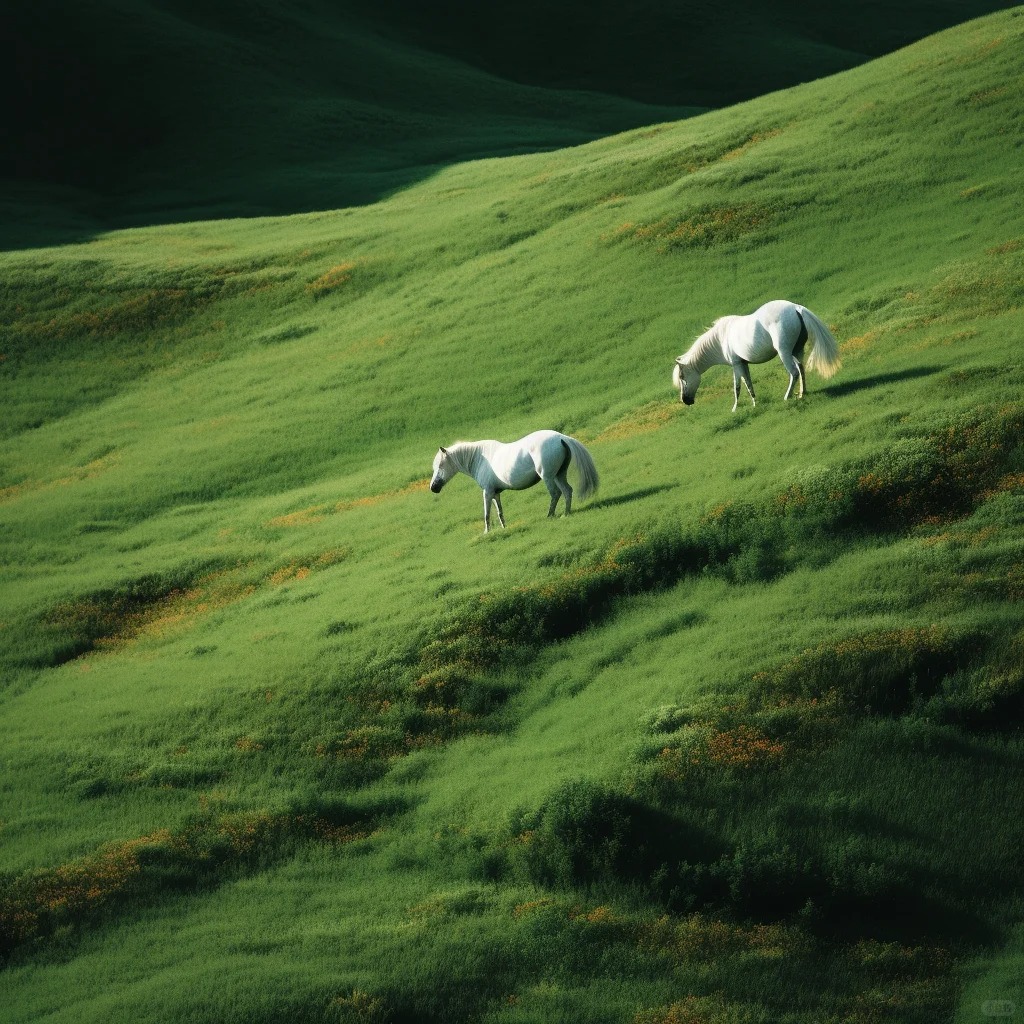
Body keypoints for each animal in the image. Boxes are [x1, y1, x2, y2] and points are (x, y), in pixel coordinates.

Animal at [425, 428, 598, 532]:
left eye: (440, 465)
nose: (433, 487)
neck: (480, 458)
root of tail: (561, 437)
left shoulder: (487, 492)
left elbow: (487, 514)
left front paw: (487, 532)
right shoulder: (495, 493)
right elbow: (499, 512)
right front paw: (504, 528)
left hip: (548, 477)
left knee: (556, 494)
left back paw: (550, 515)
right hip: (559, 475)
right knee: (567, 491)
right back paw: (566, 514)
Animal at [671, 299, 839, 409]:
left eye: (682, 377)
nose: (685, 400)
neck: (721, 338)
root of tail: (795, 308)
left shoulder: (736, 364)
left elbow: (737, 387)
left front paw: (735, 408)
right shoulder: (743, 363)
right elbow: (748, 384)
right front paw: (754, 403)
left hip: (784, 352)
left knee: (794, 372)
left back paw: (788, 396)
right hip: (797, 350)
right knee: (801, 369)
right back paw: (802, 393)